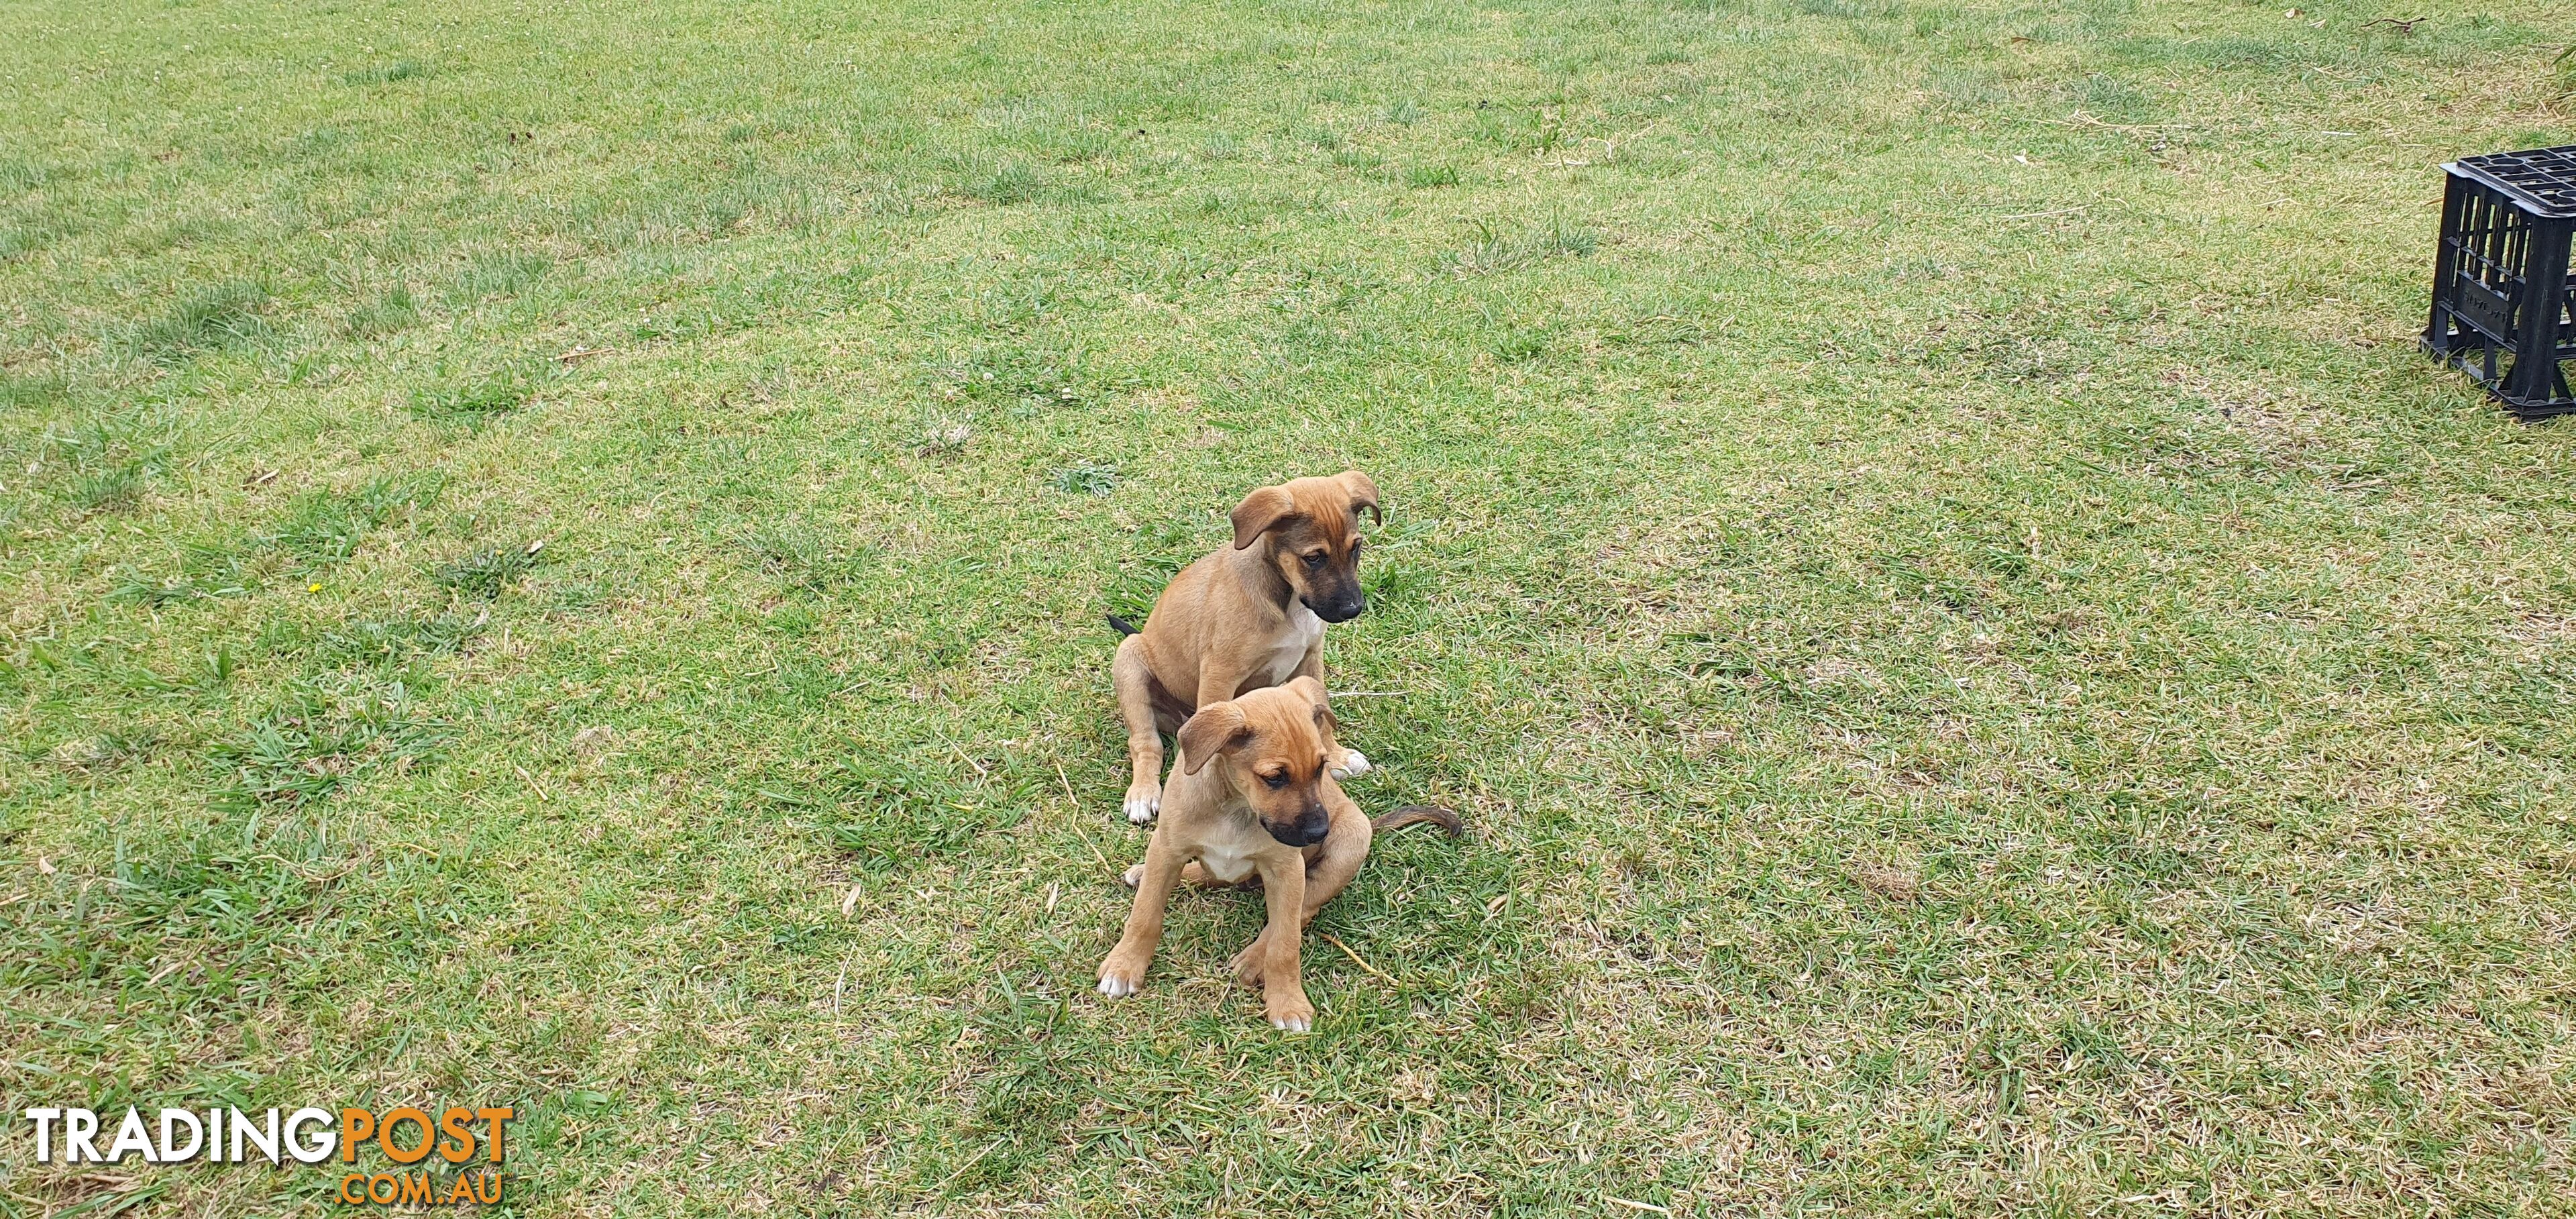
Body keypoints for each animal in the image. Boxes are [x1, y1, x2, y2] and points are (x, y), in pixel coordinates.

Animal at [1097, 675, 1463, 1025]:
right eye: (1275, 778)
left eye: (1321, 768)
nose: (1320, 832)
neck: (1238, 808)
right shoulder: (1166, 850)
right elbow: (1145, 914)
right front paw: (1124, 966)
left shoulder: (1287, 872)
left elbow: (1285, 945)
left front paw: (1288, 1004)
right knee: (1210, 876)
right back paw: (1143, 873)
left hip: (1351, 842)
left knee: (1302, 912)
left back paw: (1253, 959)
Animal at [1112, 471, 1391, 819]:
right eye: (1313, 558)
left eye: (1356, 548)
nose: (1354, 609)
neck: (1286, 598)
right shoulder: (1220, 673)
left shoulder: (1310, 658)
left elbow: (1320, 716)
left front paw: (1336, 756)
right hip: (1129, 660)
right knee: (1146, 742)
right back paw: (1143, 793)